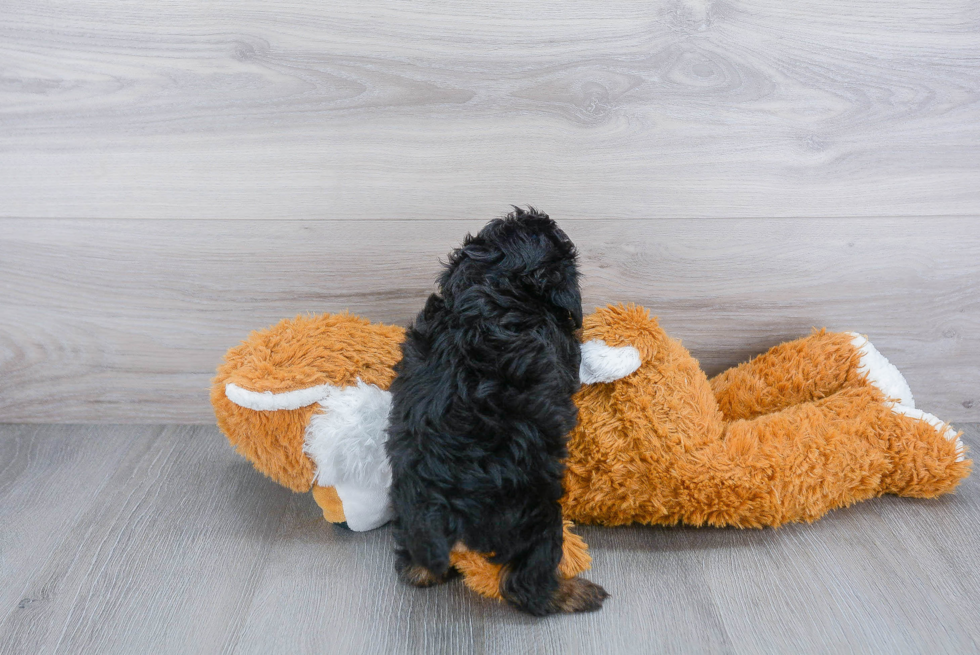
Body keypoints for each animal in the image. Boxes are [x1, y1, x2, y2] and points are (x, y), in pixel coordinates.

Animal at [386, 209, 608, 616]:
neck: (492, 284)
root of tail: (444, 503)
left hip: (409, 507)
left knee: (415, 567)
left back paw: (420, 568)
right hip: (533, 512)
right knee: (524, 584)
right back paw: (575, 593)